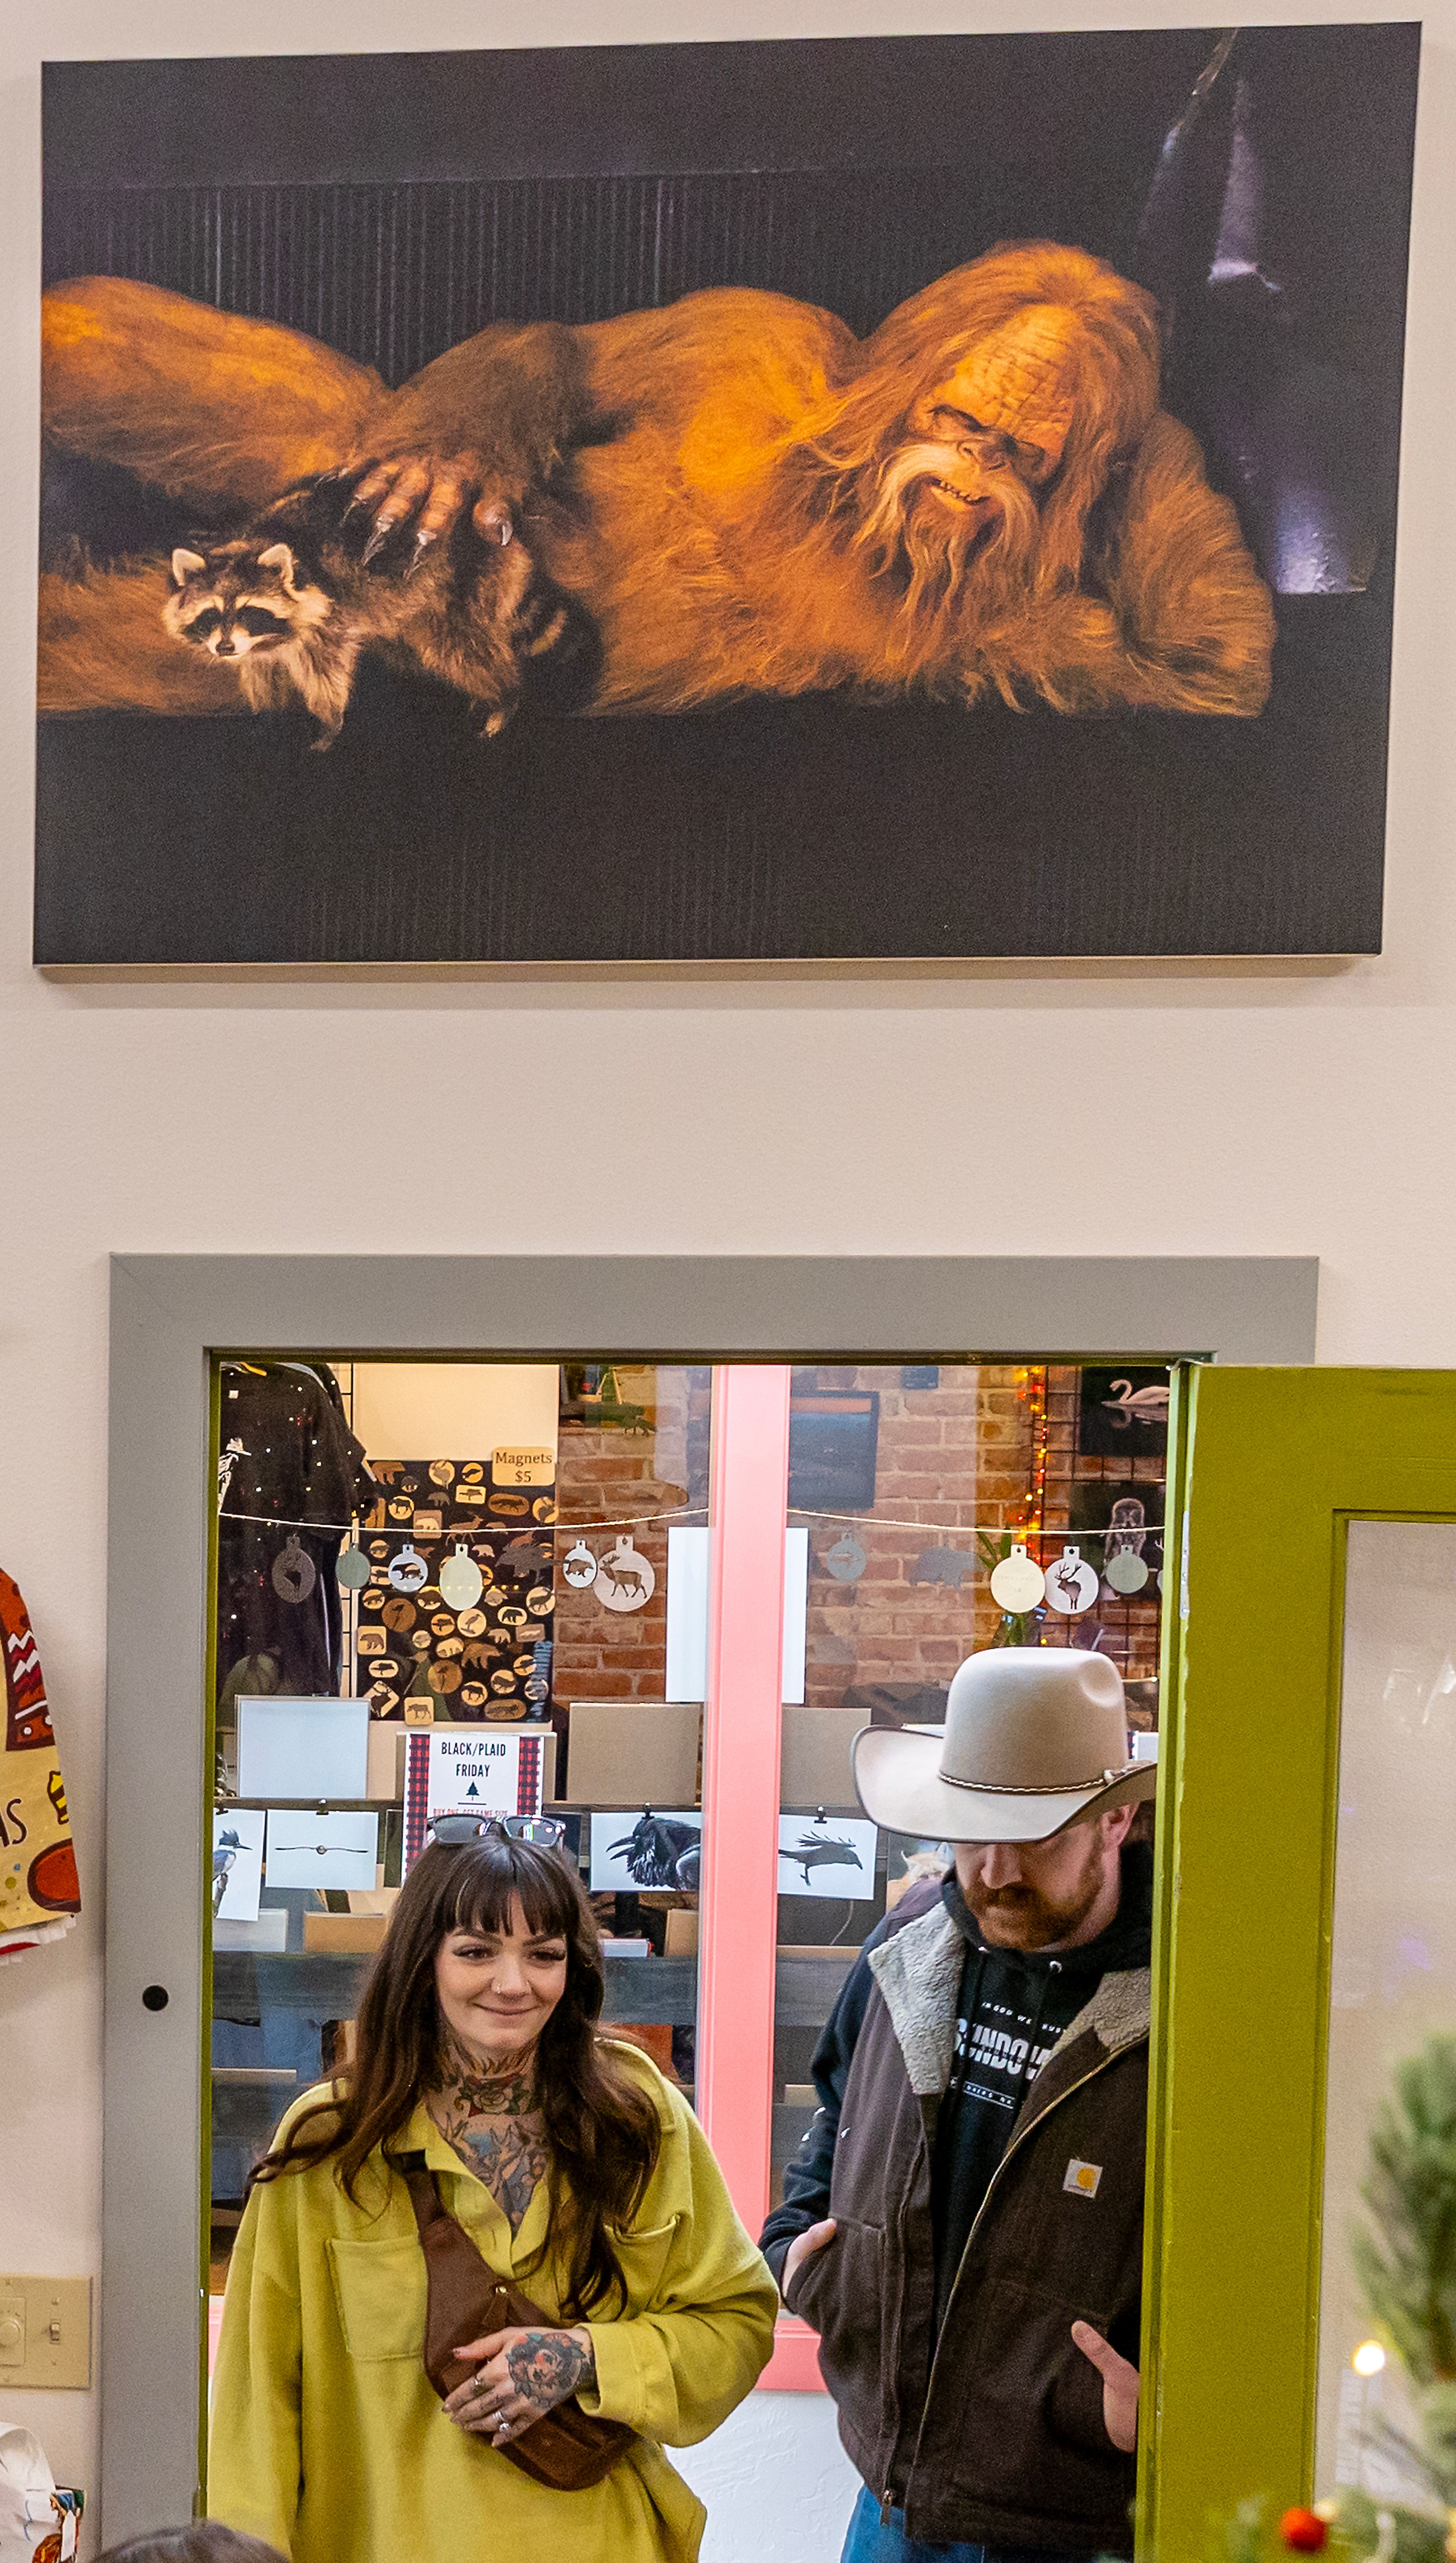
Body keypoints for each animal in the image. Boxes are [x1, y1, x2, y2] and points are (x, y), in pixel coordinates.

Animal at [162, 476, 577, 748]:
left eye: (249, 611)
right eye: (211, 615)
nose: (225, 649)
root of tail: (506, 541)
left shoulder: (329, 619)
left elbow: (326, 673)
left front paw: (328, 723)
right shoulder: (260, 647)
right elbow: (262, 673)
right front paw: (267, 715)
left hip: (463, 590)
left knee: (462, 650)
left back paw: (505, 694)